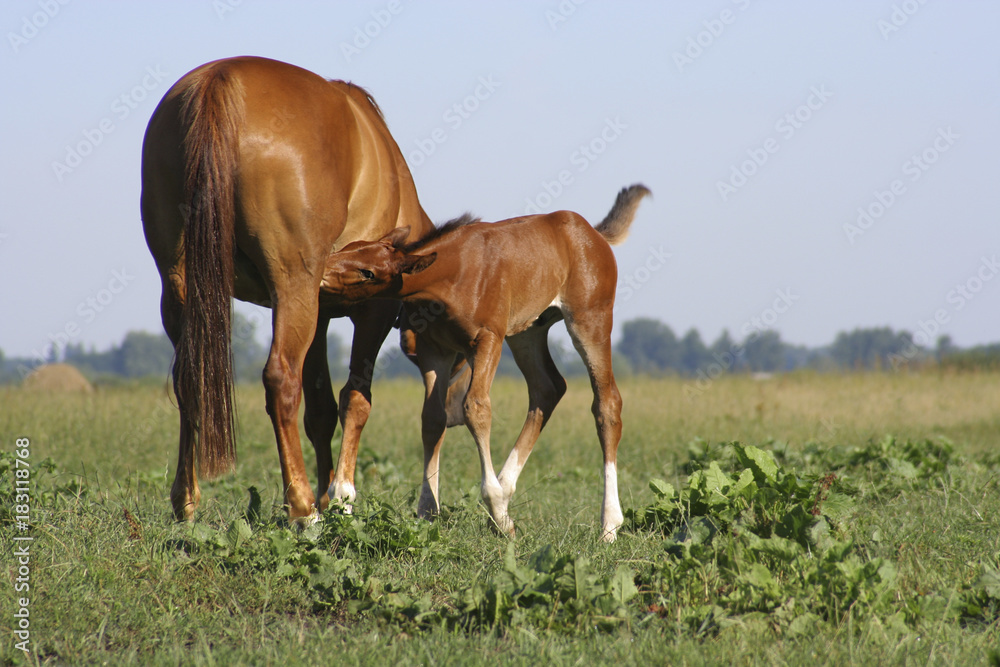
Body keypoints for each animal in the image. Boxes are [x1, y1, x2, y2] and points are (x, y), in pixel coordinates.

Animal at [140, 56, 444, 525]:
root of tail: (219, 80)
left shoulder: (317, 315)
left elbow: (321, 409)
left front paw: (326, 490)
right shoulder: (371, 312)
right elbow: (355, 398)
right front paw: (339, 495)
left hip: (181, 288)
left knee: (190, 378)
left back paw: (187, 502)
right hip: (293, 285)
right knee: (281, 378)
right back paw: (303, 510)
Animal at [319, 184, 651, 541]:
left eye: (368, 273)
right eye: (350, 248)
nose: (321, 272)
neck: (452, 276)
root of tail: (594, 234)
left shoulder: (487, 338)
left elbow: (476, 408)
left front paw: (498, 512)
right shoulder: (434, 349)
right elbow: (433, 418)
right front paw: (429, 512)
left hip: (590, 319)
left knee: (607, 403)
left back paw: (608, 524)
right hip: (527, 331)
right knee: (547, 389)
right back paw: (506, 490)